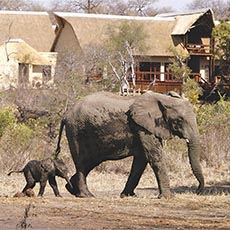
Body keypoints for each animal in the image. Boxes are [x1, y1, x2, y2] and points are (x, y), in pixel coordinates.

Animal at [56, 90, 205, 199]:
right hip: (76, 131)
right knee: (82, 162)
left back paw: (72, 189)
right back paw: (86, 196)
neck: (162, 99)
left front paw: (128, 196)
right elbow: (154, 156)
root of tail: (65, 115)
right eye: (179, 121)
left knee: (89, 162)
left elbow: (141, 161)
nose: (197, 191)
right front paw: (168, 197)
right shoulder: (142, 127)